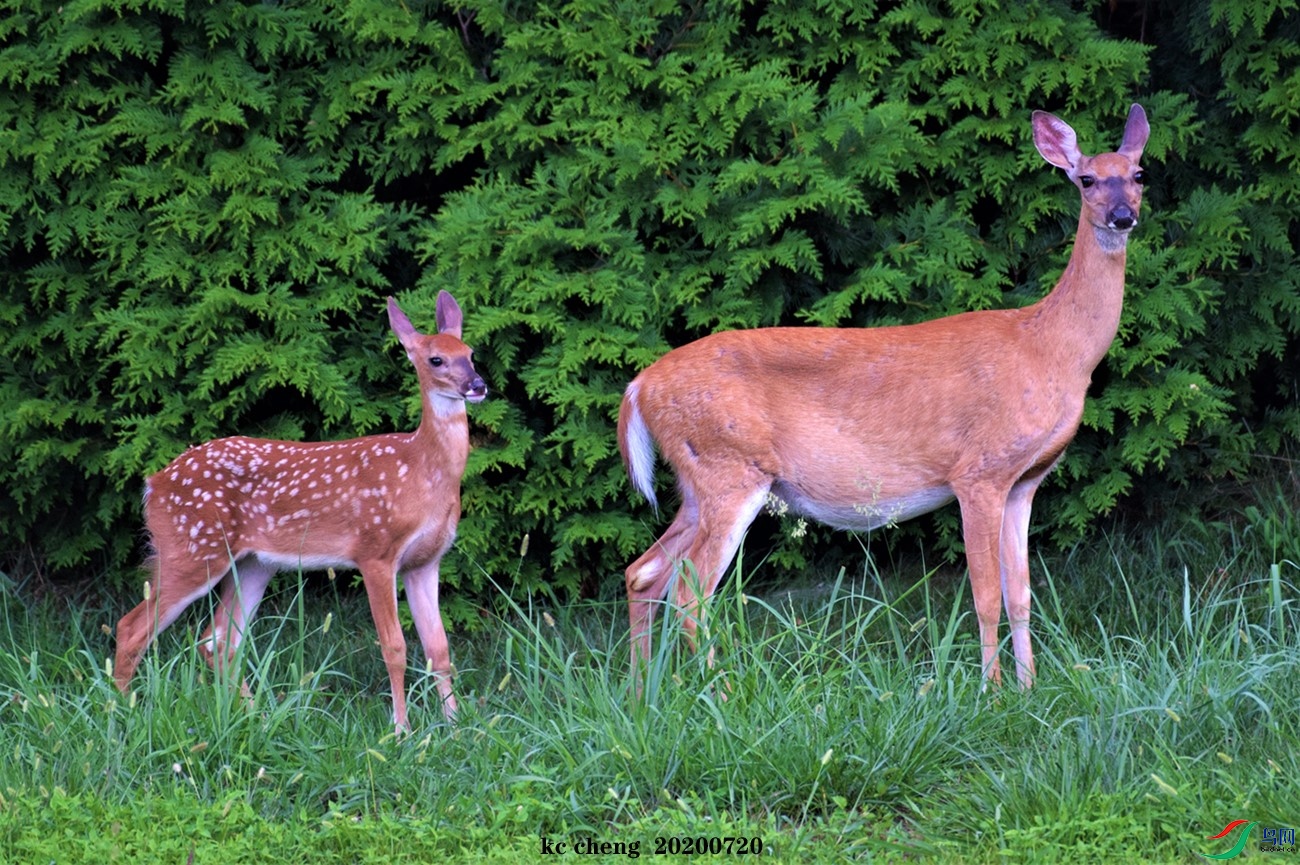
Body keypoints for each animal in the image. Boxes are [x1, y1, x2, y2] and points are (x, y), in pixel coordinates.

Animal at [110, 290, 488, 728]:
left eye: (471, 353)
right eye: (436, 360)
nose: (478, 385)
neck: (422, 471)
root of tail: (153, 484)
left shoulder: (425, 561)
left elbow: (439, 649)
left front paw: (456, 726)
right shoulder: (375, 550)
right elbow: (394, 647)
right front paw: (401, 730)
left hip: (253, 563)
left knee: (218, 638)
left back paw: (256, 714)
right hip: (191, 549)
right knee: (133, 627)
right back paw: (123, 712)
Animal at [618, 101, 1149, 686]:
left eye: (1139, 174)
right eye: (1086, 179)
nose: (1122, 216)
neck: (1050, 348)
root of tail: (638, 387)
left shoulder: (1024, 482)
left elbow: (1022, 596)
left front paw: (1029, 688)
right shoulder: (978, 471)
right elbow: (986, 595)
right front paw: (994, 692)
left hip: (698, 481)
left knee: (644, 572)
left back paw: (643, 694)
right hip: (729, 468)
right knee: (690, 594)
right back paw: (726, 693)